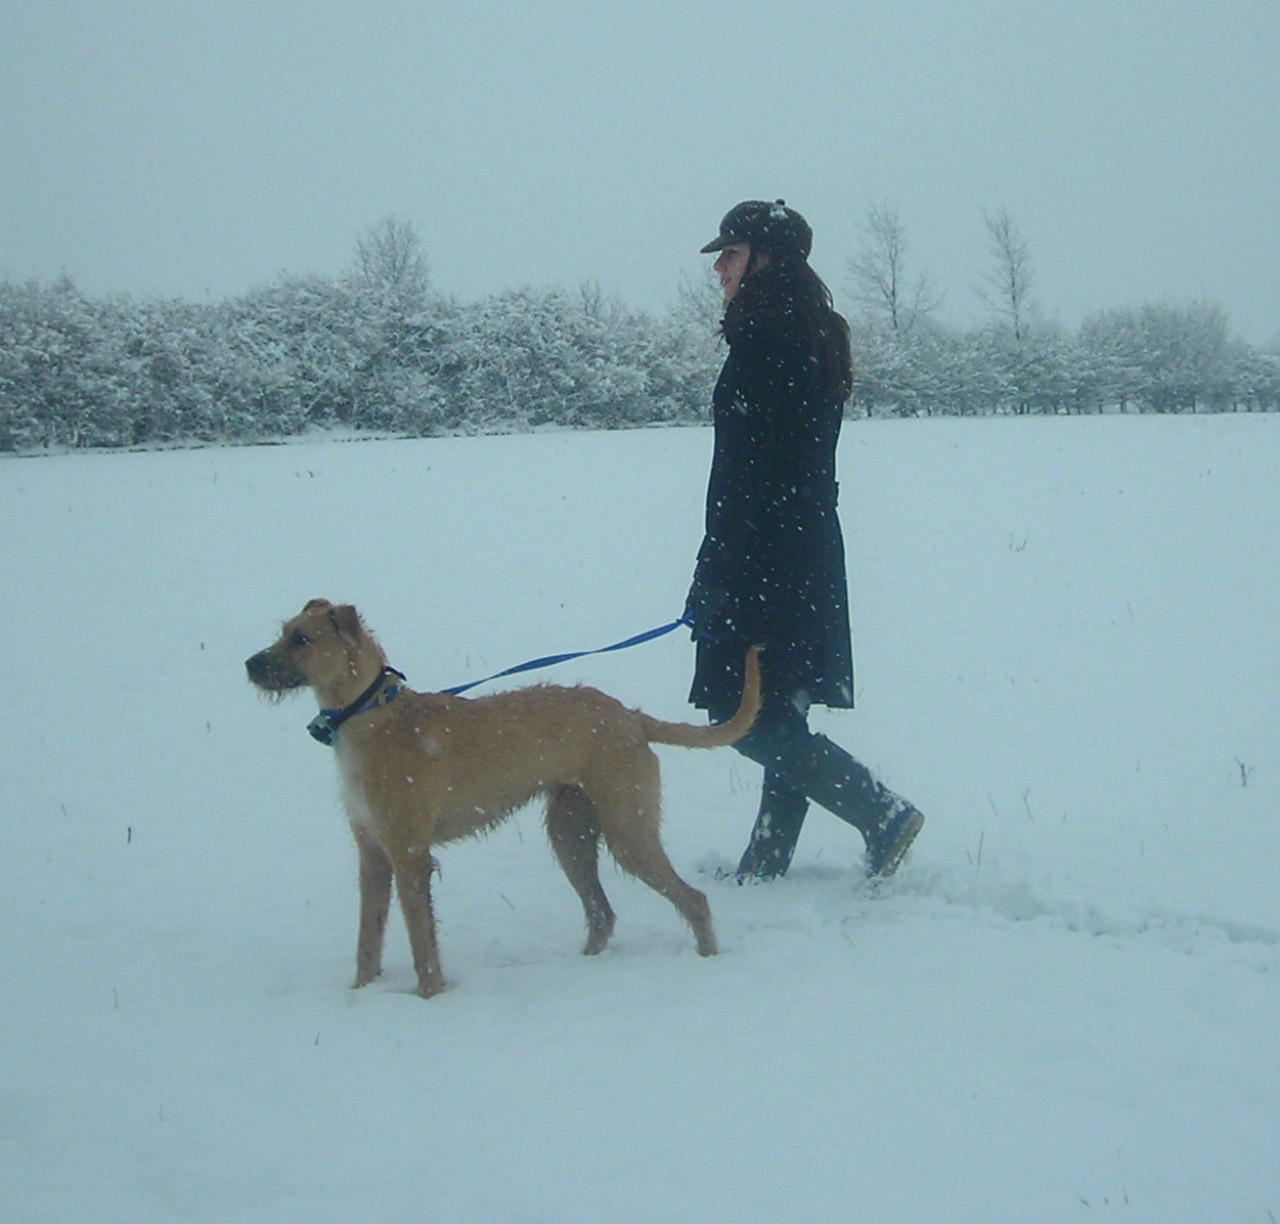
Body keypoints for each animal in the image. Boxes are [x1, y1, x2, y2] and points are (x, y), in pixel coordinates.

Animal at [244, 599, 752, 993]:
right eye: (283, 632)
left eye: (302, 639)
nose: (250, 664)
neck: (372, 717)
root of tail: (631, 716)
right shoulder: (372, 855)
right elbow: (367, 943)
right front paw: (360, 994)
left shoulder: (409, 856)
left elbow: (422, 944)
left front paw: (429, 998)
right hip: (570, 833)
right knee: (602, 913)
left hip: (628, 829)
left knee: (693, 900)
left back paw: (708, 959)